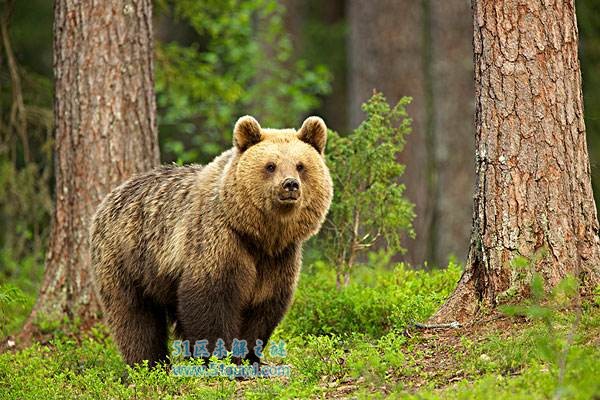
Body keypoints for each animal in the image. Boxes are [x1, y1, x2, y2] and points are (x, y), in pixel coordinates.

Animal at [89, 115, 332, 366]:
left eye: (300, 165)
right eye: (270, 165)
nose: (290, 184)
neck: (259, 235)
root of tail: (111, 196)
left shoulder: (279, 259)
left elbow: (263, 307)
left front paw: (249, 356)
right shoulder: (218, 242)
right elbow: (210, 300)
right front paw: (220, 357)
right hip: (127, 260)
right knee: (134, 317)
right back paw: (147, 364)